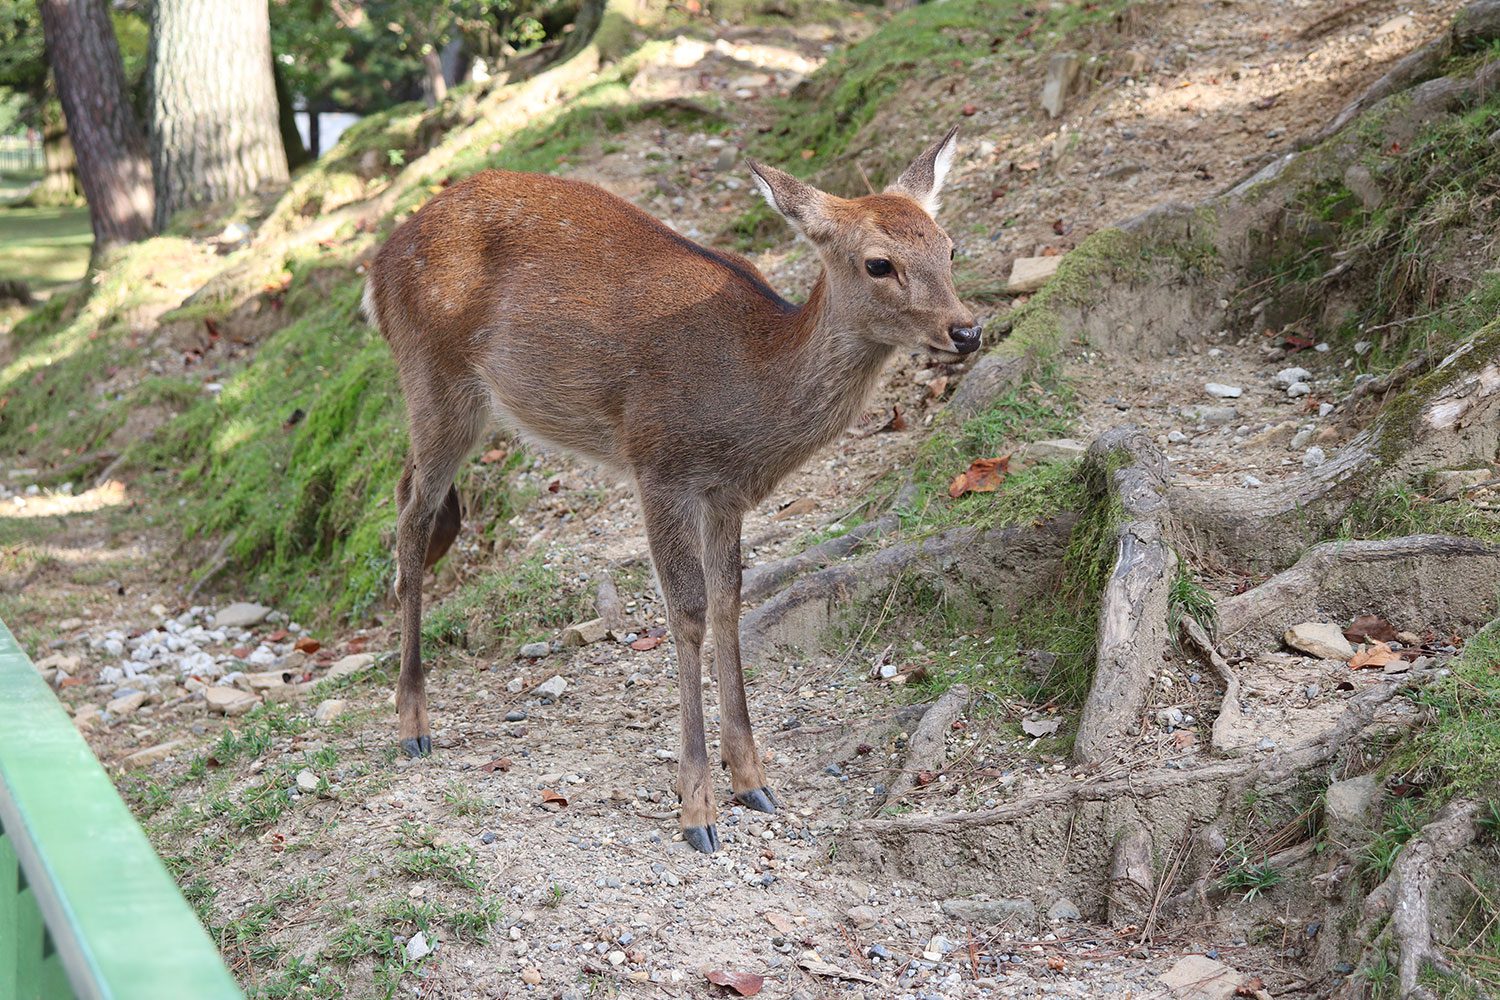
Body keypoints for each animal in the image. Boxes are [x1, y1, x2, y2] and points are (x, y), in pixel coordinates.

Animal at [366, 127, 984, 851]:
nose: (967, 329)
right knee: (412, 519)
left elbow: (728, 602)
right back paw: (412, 725)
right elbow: (685, 612)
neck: (750, 392)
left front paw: (753, 781)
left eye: (949, 247)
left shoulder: (726, 493)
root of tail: (377, 266)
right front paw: (697, 810)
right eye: (878, 264)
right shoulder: (657, 466)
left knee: (408, 495)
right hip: (435, 376)